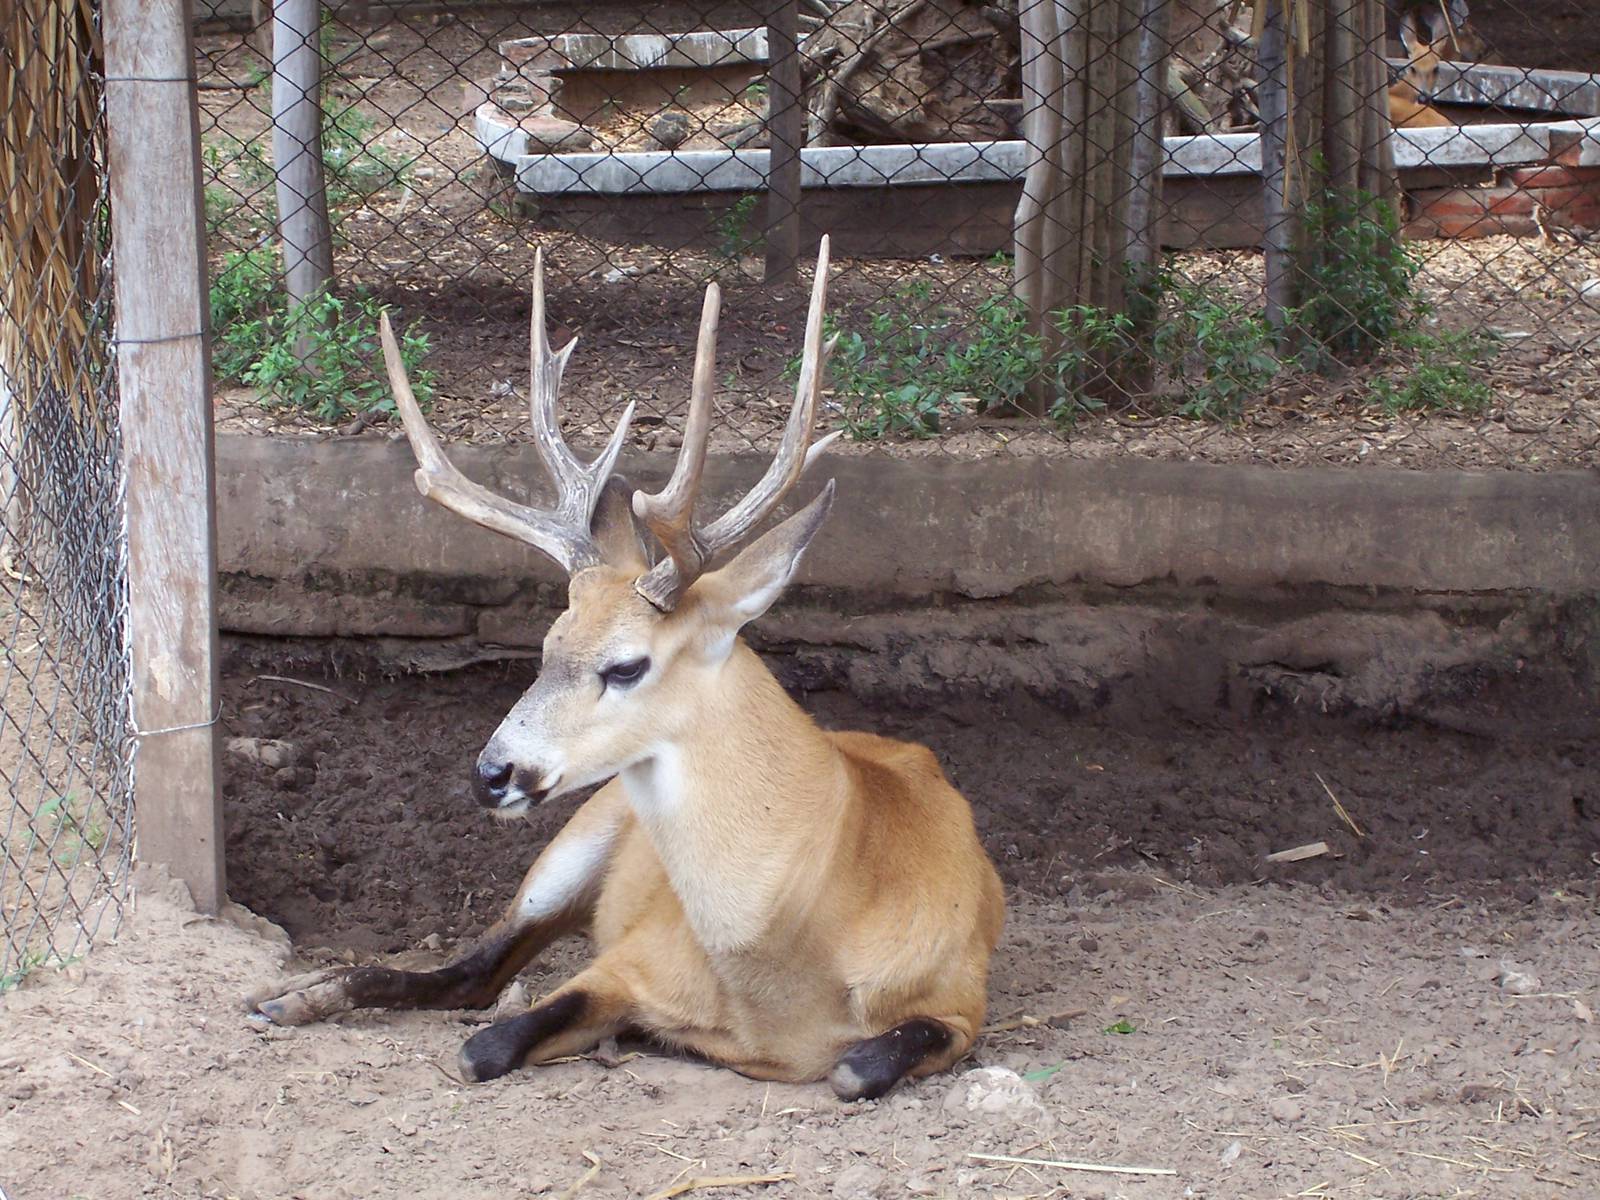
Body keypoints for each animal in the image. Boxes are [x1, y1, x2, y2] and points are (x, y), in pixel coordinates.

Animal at [248, 238, 1007, 1101]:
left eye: (625, 666)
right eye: (547, 644)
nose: (490, 773)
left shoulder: (960, 1000)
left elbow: (855, 1067)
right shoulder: (628, 959)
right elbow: (483, 1045)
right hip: (576, 838)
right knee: (474, 969)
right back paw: (287, 999)